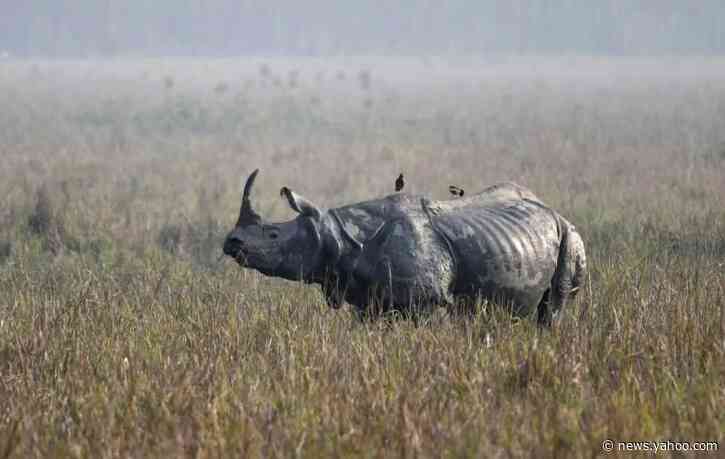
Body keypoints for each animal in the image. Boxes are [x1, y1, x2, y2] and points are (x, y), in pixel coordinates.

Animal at [223, 169, 586, 325]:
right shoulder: (368, 298)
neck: (335, 236)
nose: (231, 242)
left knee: (554, 306)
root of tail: (554, 212)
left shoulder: (427, 300)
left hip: (570, 236)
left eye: (273, 235)